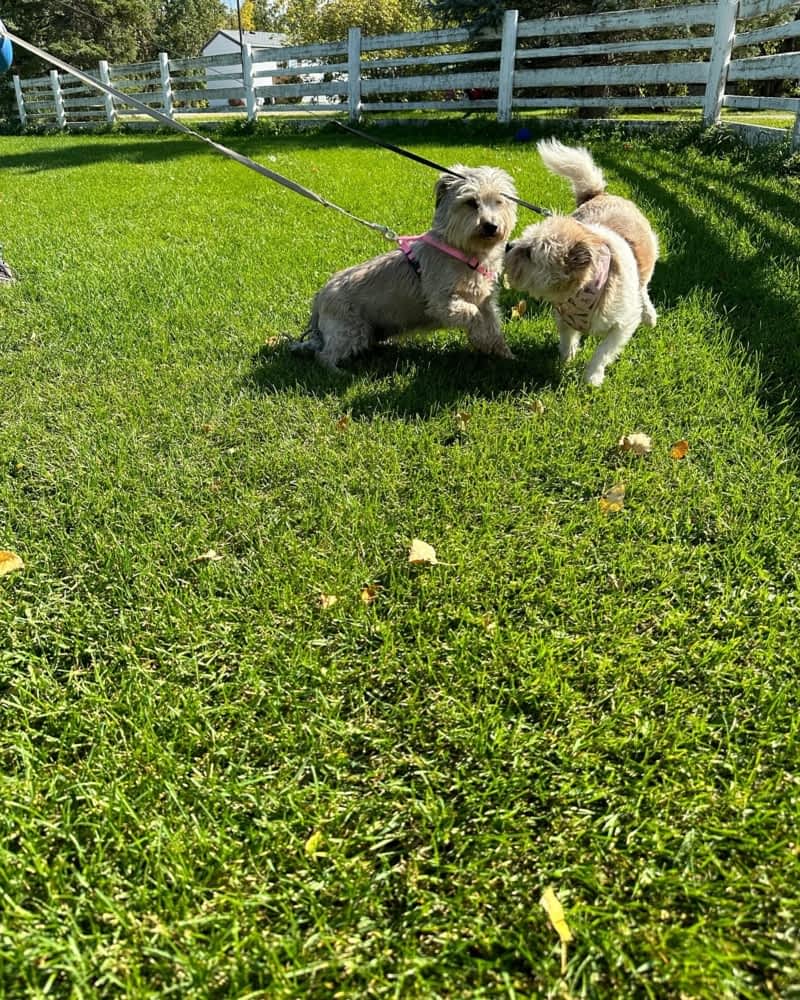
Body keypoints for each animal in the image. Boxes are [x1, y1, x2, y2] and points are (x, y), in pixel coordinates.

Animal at [292, 168, 520, 372]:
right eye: (471, 202)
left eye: (499, 201)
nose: (491, 226)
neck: (466, 253)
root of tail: (319, 296)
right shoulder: (443, 302)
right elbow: (473, 314)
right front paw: (482, 338)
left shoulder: (487, 301)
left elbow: (493, 325)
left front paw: (505, 354)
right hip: (349, 330)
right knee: (323, 356)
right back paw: (338, 372)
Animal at [506, 140, 656, 386]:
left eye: (528, 252)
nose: (508, 245)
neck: (582, 293)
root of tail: (599, 194)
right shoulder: (564, 319)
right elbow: (568, 339)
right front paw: (567, 359)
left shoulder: (622, 326)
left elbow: (603, 351)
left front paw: (592, 377)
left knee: (642, 289)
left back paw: (649, 315)